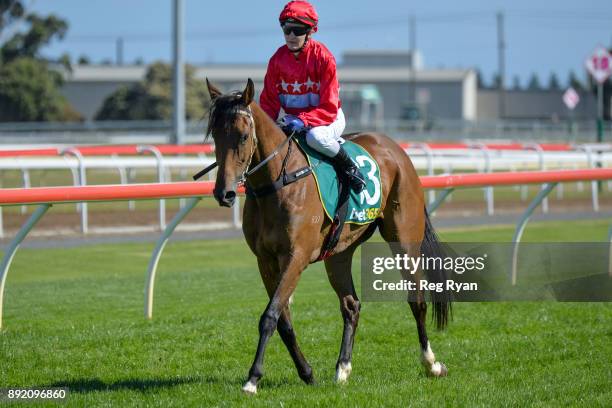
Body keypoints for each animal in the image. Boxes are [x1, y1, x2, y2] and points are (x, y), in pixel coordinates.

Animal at [206, 78, 450, 394]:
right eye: (215, 135)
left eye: (244, 135)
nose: (223, 193)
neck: (279, 182)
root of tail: (396, 150)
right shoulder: (266, 261)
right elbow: (282, 320)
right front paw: (307, 373)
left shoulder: (295, 257)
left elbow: (270, 316)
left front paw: (252, 378)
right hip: (339, 252)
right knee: (351, 305)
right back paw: (342, 368)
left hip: (404, 238)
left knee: (416, 300)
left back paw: (431, 363)